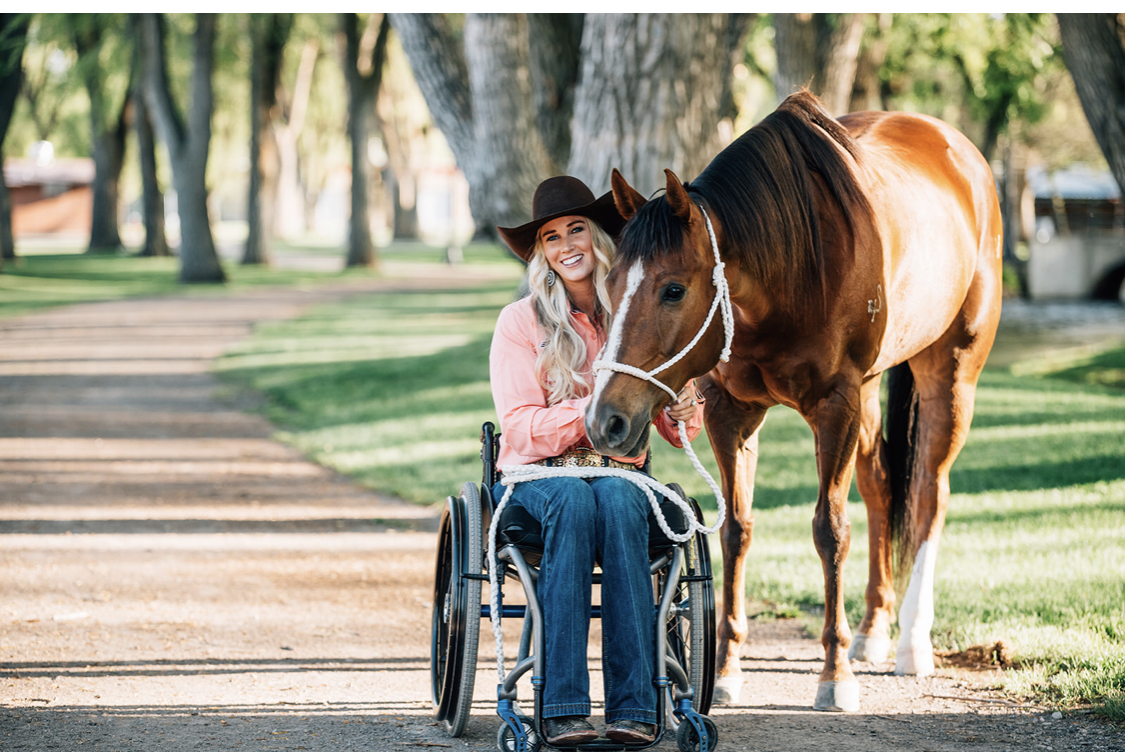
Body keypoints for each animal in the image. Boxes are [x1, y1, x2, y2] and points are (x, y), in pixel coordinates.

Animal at [589, 91, 1003, 715]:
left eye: (673, 289)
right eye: (610, 285)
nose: (605, 420)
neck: (791, 268)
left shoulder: (835, 404)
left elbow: (831, 530)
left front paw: (834, 675)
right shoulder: (730, 410)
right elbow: (736, 529)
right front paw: (727, 668)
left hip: (950, 374)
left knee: (930, 495)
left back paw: (911, 641)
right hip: (872, 391)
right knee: (883, 486)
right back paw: (873, 629)